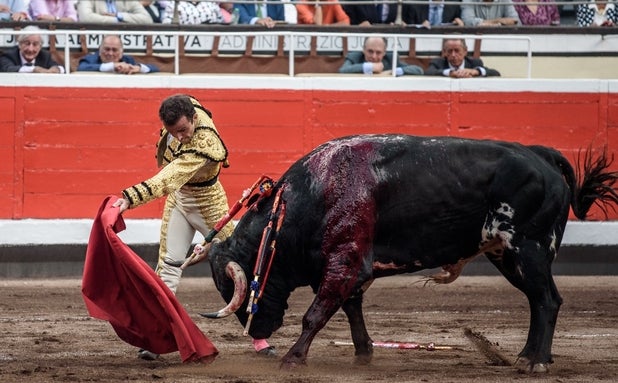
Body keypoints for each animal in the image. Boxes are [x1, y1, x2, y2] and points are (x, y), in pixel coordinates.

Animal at [203, 134, 616, 372]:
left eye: (237, 292)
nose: (259, 334)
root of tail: (541, 155)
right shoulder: (352, 266)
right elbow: (351, 308)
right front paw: (364, 353)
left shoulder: (344, 260)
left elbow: (316, 313)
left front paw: (293, 358)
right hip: (506, 254)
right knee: (539, 300)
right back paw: (533, 356)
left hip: (528, 248)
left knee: (546, 300)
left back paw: (534, 361)